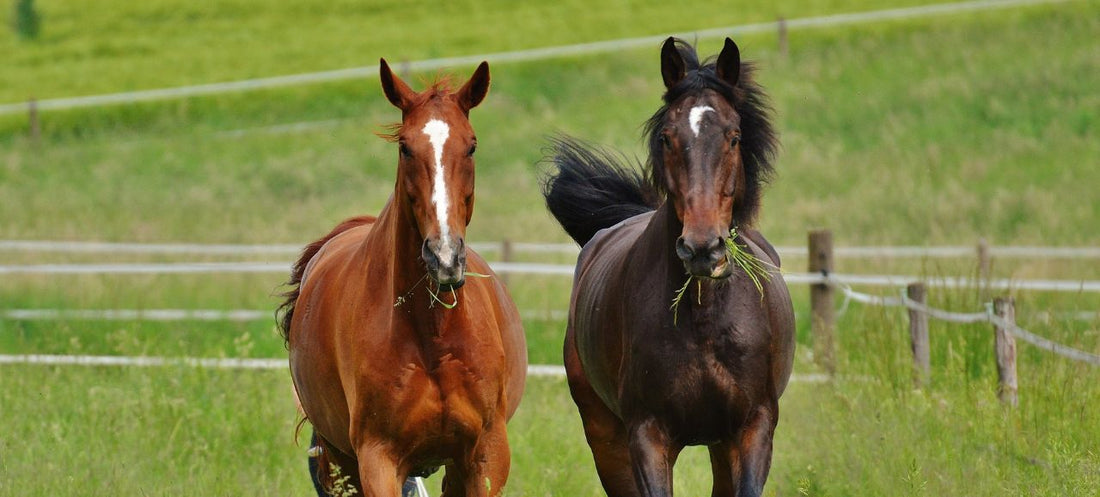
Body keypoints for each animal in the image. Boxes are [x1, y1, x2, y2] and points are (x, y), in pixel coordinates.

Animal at [278, 58, 527, 497]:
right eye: (405, 147)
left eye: (472, 145)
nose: (444, 256)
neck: (433, 336)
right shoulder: (378, 459)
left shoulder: (486, 455)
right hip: (340, 459)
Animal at [540, 37, 795, 497]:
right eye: (667, 137)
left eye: (734, 137)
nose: (702, 249)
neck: (704, 320)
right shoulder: (647, 435)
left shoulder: (753, 427)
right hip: (605, 436)